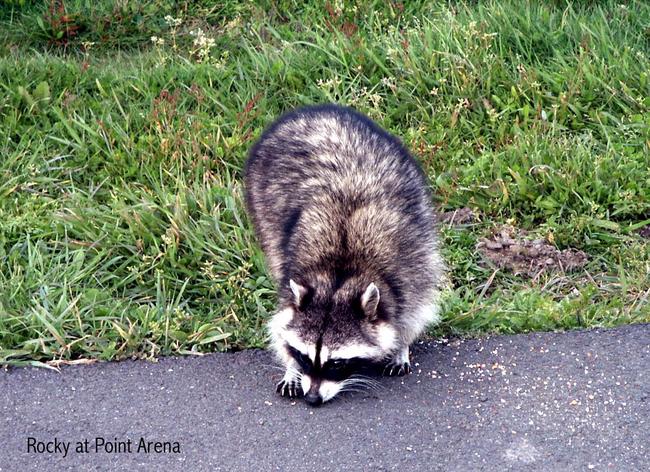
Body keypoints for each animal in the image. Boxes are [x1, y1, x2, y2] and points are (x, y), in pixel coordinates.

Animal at [243, 103, 446, 406]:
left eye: (337, 363)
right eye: (305, 356)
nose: (312, 399)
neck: (341, 271)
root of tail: (312, 111)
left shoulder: (409, 263)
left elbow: (414, 307)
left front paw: (402, 344)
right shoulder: (293, 265)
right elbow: (284, 318)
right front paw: (291, 366)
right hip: (261, 200)